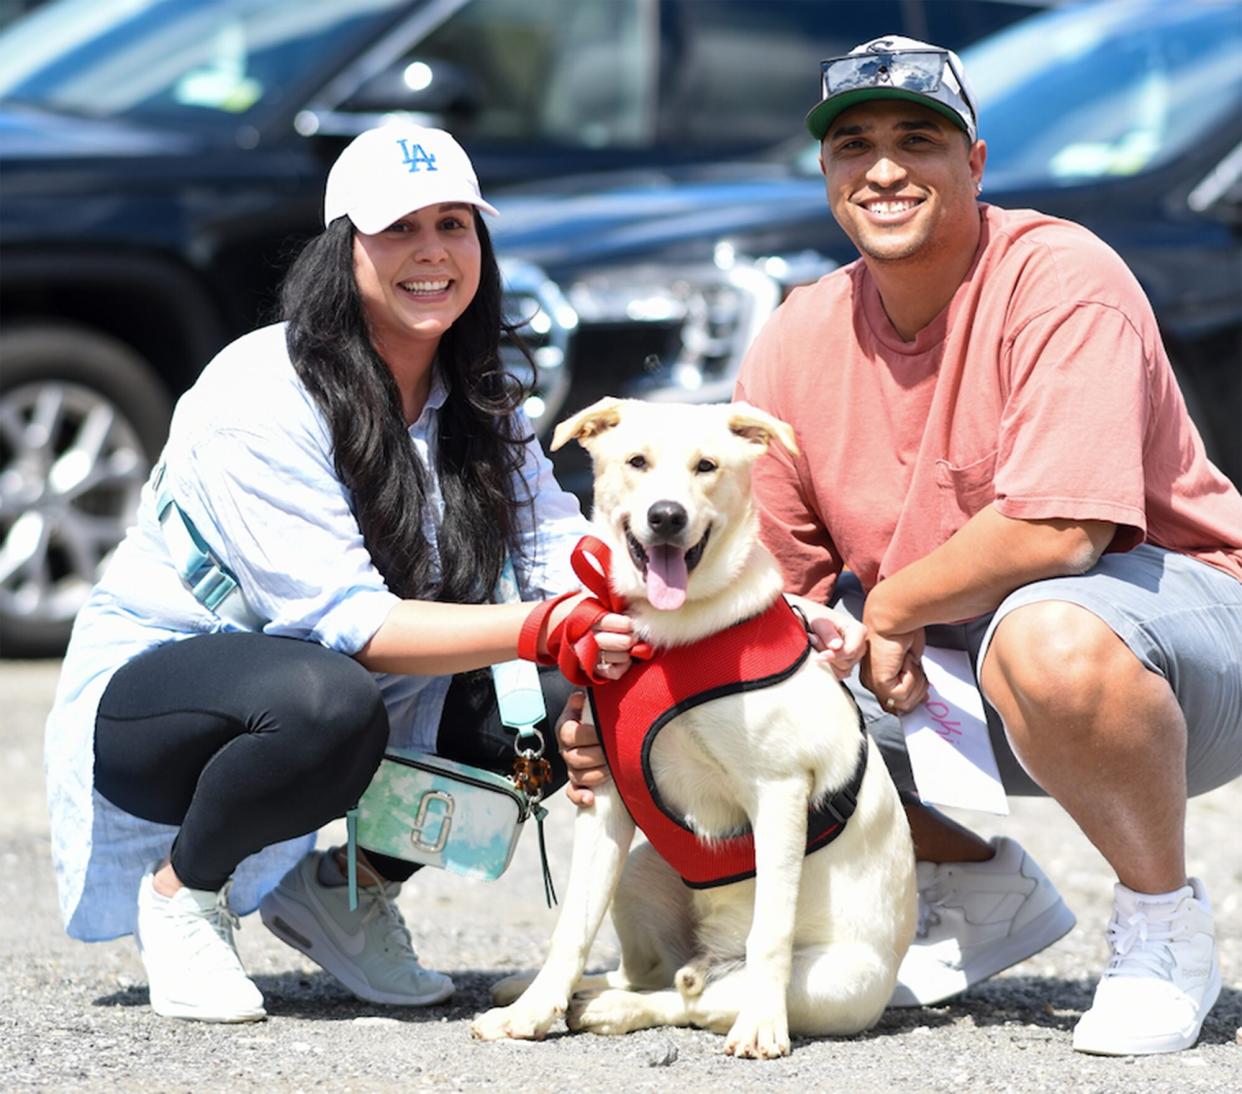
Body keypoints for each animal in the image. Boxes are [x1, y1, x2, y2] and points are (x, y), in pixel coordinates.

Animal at [469, 399, 919, 1057]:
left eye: (706, 466)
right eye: (636, 461)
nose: (666, 516)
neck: (667, 636)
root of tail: (709, 956)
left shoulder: (780, 791)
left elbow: (771, 931)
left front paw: (762, 1025)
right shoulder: (606, 794)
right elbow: (573, 923)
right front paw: (531, 1011)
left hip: (832, 982)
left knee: (695, 999)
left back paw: (622, 1008)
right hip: (638, 873)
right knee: (648, 973)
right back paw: (572, 993)